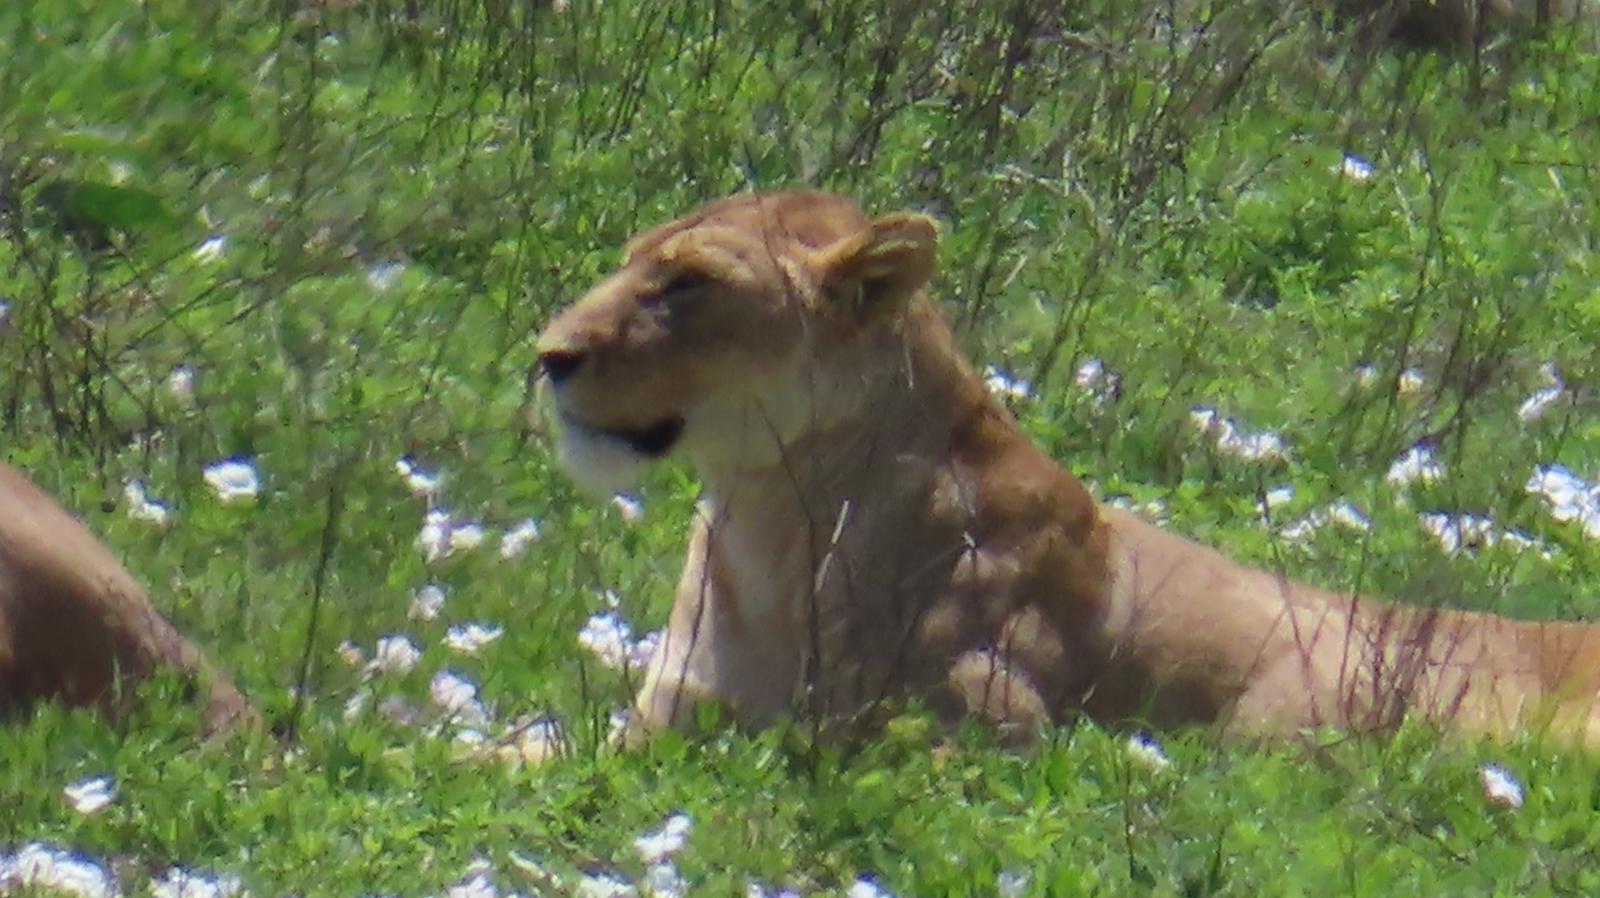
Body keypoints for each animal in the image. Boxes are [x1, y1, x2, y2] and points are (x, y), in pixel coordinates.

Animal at [535, 190, 1600, 749]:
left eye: (687, 285)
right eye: (633, 260)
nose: (546, 356)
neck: (761, 523)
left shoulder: (988, 727)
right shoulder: (663, 714)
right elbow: (523, 749)